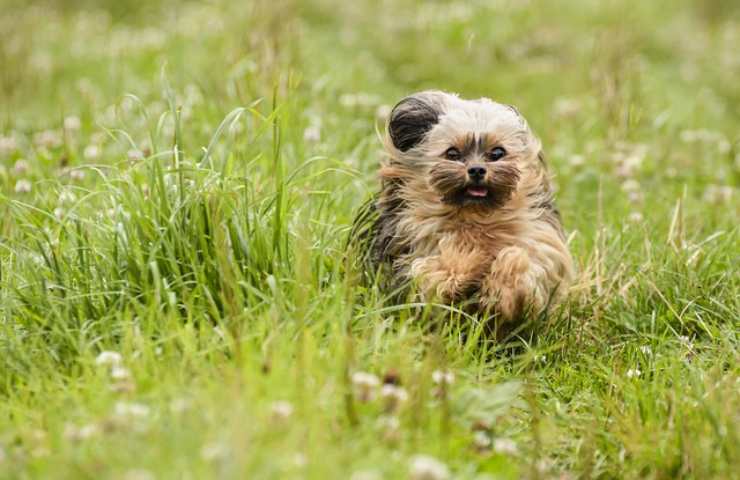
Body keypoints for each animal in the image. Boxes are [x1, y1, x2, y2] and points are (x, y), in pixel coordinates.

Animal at [352, 91, 572, 326]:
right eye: (452, 153)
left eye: (497, 152)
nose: (476, 170)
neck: (475, 216)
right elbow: (436, 270)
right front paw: (471, 260)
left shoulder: (540, 245)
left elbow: (522, 262)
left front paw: (502, 290)